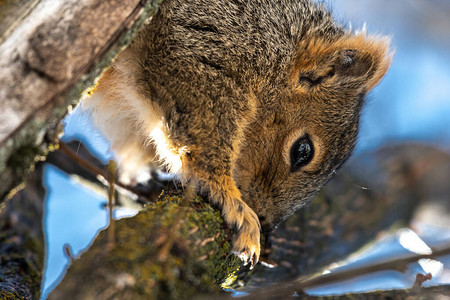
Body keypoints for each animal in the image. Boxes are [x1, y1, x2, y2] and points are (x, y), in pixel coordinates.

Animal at [82, 0, 392, 268]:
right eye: (302, 151)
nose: (267, 223)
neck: (278, 46)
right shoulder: (205, 49)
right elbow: (203, 139)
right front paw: (234, 205)